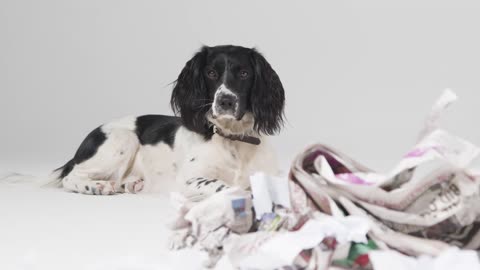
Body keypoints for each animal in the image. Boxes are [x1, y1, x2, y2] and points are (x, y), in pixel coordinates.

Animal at [48, 44, 284, 200]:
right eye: (210, 73)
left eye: (244, 73)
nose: (226, 101)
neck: (233, 139)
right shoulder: (188, 180)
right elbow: (226, 186)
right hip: (123, 138)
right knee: (70, 176)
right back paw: (97, 186)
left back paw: (132, 183)